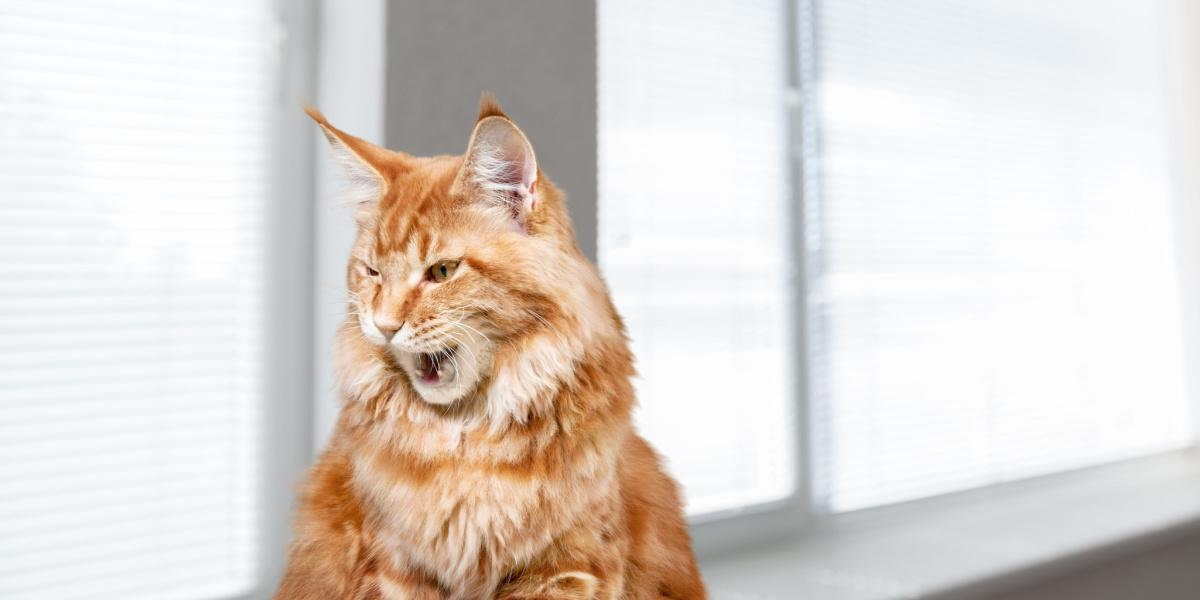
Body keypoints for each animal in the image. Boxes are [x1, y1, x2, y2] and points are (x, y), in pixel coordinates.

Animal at [276, 98, 705, 600]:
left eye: (442, 271)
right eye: (372, 272)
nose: (383, 325)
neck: (467, 443)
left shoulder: (568, 567)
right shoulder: (396, 565)